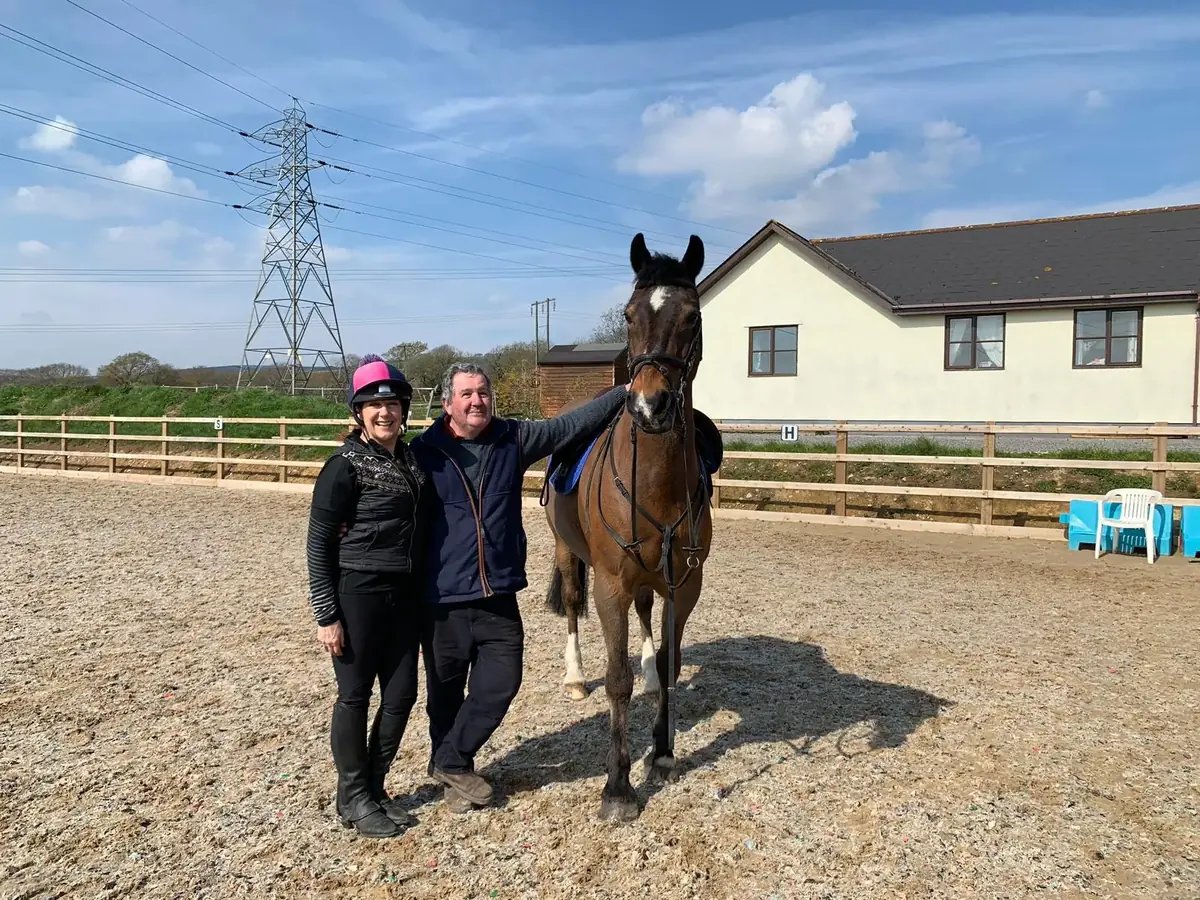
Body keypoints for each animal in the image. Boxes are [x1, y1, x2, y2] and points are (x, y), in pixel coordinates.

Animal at [540, 231, 718, 823]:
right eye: (628, 314)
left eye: (693, 315)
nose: (649, 404)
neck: (657, 484)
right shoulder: (611, 587)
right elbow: (615, 680)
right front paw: (617, 786)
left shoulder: (686, 583)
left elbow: (670, 661)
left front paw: (661, 751)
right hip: (568, 553)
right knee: (572, 605)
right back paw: (575, 677)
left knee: (646, 619)